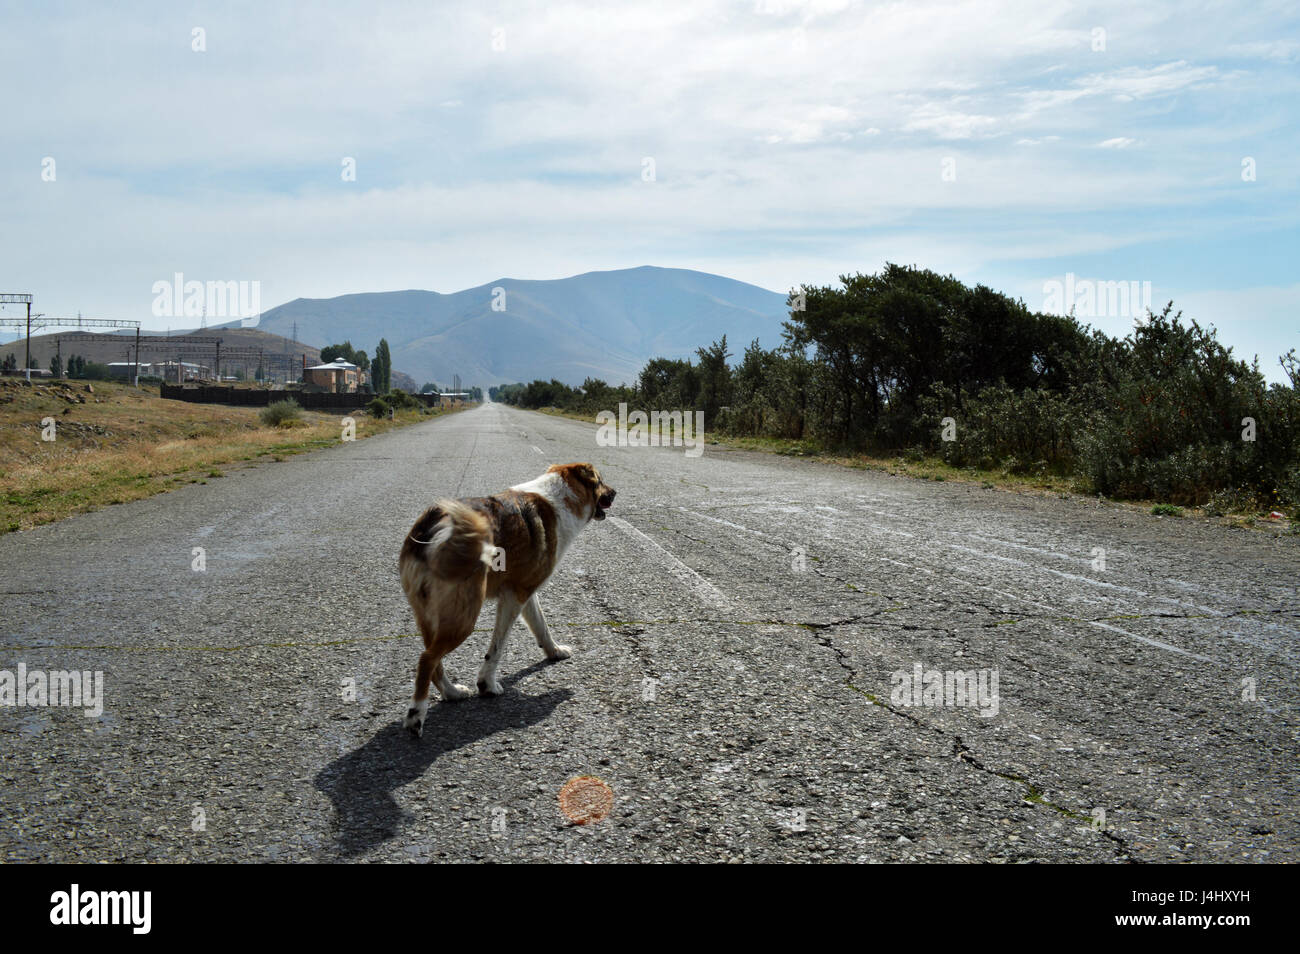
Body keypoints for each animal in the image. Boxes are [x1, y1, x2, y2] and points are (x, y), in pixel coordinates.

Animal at [395, 462, 618, 738]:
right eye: (601, 480)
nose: (615, 492)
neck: (562, 495)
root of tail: (433, 527)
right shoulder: (514, 597)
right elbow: (497, 646)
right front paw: (487, 684)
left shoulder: (525, 591)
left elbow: (541, 626)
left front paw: (554, 651)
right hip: (464, 617)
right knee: (427, 659)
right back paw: (417, 714)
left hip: (428, 616)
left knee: (433, 661)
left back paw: (452, 693)